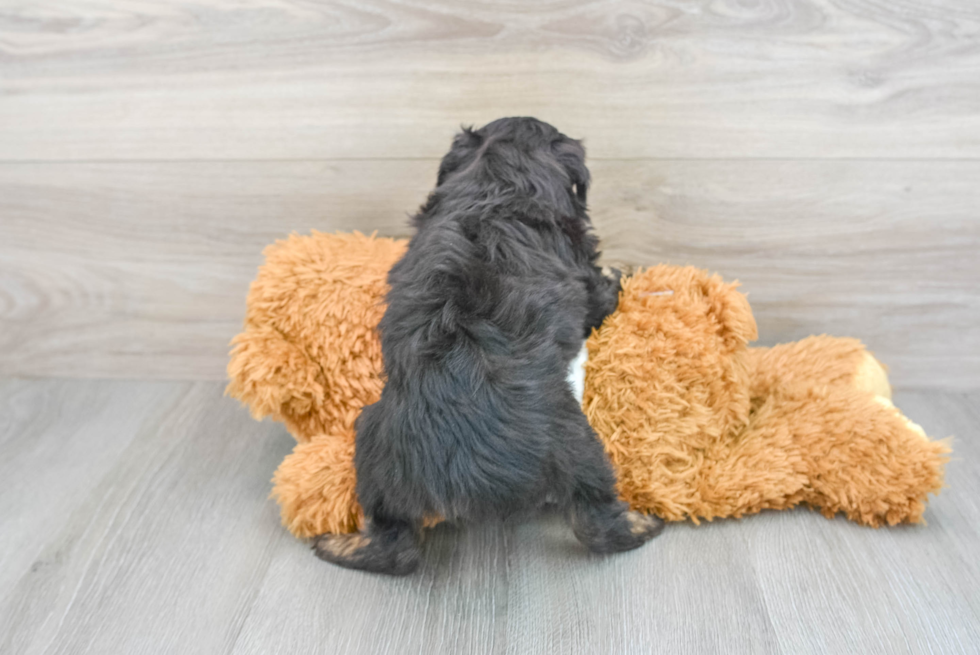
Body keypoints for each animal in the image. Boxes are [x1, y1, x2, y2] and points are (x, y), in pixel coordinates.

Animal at [314, 118, 668, 576]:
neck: (499, 180)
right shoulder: (586, 281)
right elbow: (604, 292)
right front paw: (623, 273)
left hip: (374, 446)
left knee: (394, 544)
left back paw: (339, 546)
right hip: (576, 443)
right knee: (598, 522)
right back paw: (643, 524)